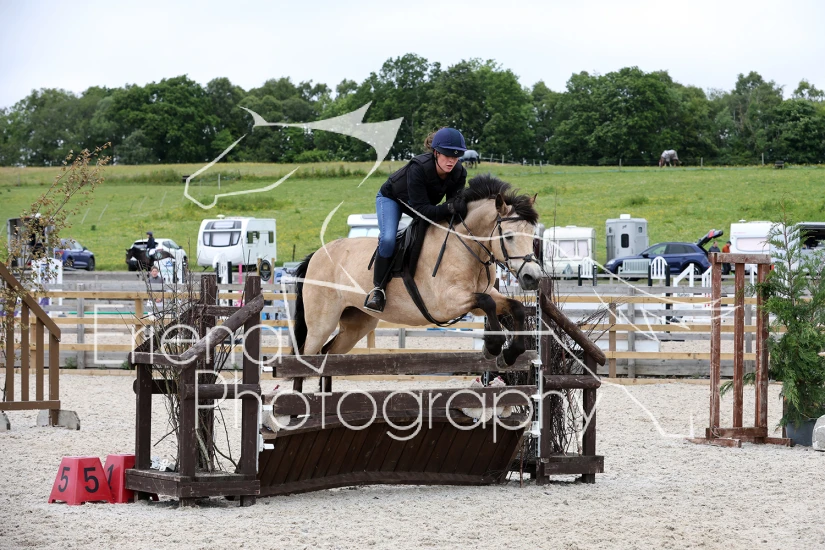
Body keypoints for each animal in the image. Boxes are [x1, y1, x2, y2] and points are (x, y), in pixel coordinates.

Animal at [291, 174, 543, 373]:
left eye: (533, 235)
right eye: (508, 236)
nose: (533, 277)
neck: (466, 247)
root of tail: (316, 255)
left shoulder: (478, 297)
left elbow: (515, 307)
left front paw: (509, 355)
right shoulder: (446, 304)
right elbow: (487, 302)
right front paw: (492, 348)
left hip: (356, 324)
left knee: (327, 354)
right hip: (321, 324)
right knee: (305, 355)